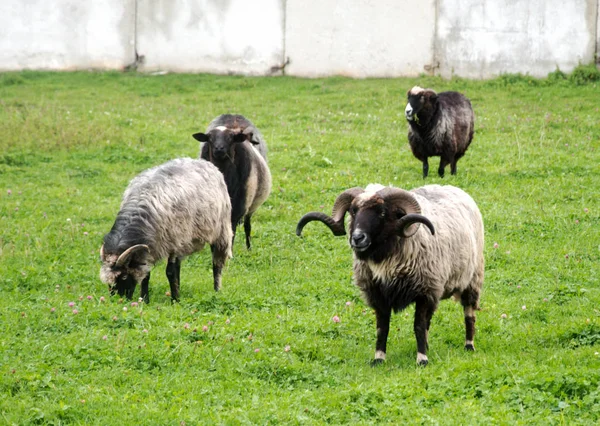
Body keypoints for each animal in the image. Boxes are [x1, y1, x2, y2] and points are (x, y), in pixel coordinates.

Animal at [98, 157, 232, 302]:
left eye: (123, 276)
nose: (117, 301)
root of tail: (203, 161)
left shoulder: (173, 241)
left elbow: (170, 272)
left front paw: (175, 300)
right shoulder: (151, 247)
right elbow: (146, 275)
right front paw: (144, 300)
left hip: (220, 230)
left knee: (216, 263)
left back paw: (216, 290)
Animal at [193, 115, 274, 251]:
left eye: (230, 138)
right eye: (210, 138)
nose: (219, 149)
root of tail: (234, 117)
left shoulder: (237, 209)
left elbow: (232, 234)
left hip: (250, 205)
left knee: (247, 225)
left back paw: (249, 248)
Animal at [298, 183, 486, 366]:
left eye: (382, 212)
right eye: (353, 211)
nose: (357, 238)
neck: (385, 259)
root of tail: (453, 188)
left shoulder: (424, 291)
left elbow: (418, 326)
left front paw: (422, 360)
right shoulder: (379, 294)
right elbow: (382, 328)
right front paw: (379, 358)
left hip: (472, 278)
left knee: (469, 313)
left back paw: (469, 345)